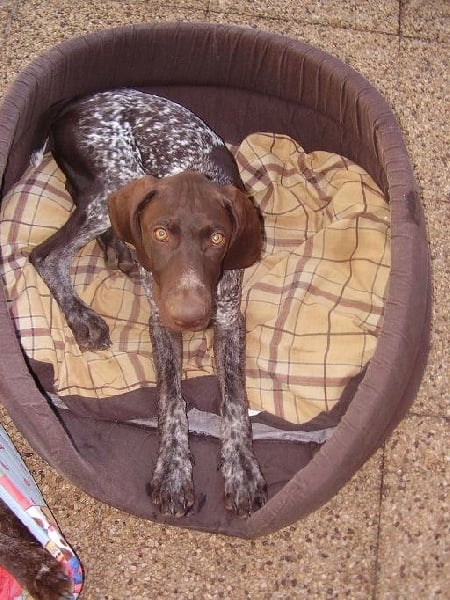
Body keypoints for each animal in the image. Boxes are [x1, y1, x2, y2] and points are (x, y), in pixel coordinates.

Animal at [30, 89, 267, 517]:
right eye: (160, 233)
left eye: (218, 238)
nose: (189, 317)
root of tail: (70, 104)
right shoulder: (161, 323)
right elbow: (171, 400)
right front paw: (173, 472)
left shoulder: (228, 319)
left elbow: (234, 400)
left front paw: (241, 469)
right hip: (115, 180)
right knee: (46, 254)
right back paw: (83, 317)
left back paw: (118, 252)